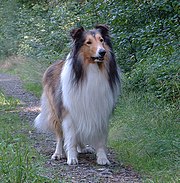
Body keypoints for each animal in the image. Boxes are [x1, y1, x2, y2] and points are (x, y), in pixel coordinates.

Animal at [34, 24, 120, 166]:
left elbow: (100, 140)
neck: (91, 70)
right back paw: (58, 154)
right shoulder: (68, 113)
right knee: (60, 136)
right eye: (88, 42)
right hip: (56, 112)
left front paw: (102, 158)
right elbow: (70, 138)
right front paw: (72, 158)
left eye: (101, 40)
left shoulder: (101, 111)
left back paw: (83, 148)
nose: (102, 52)